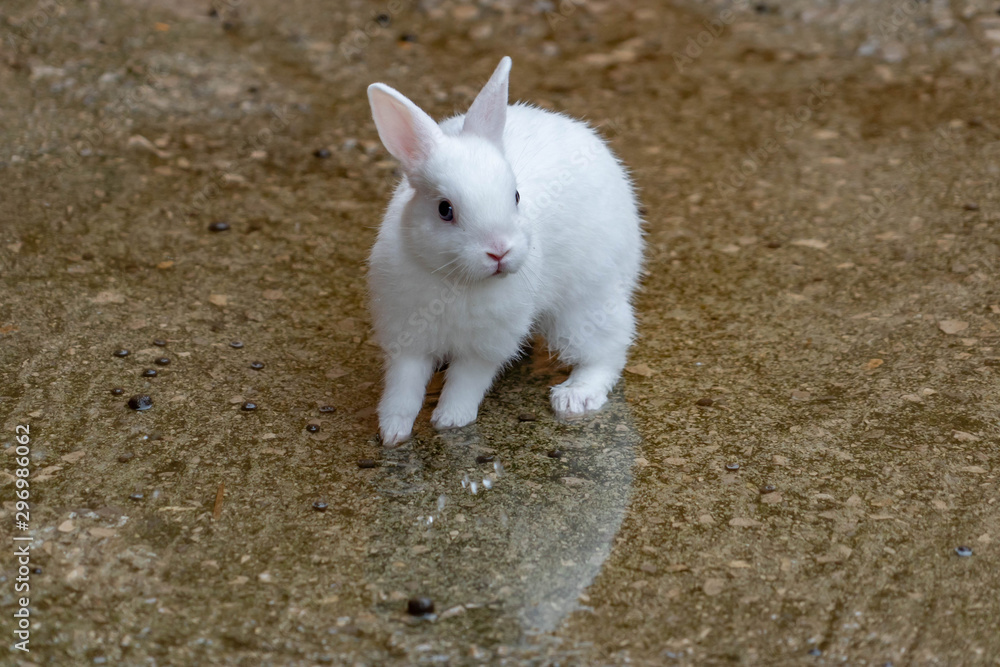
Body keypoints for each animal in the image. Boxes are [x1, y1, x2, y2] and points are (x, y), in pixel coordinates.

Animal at [366, 56, 643, 446]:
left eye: (515, 196)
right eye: (445, 209)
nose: (499, 252)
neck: (457, 281)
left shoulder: (486, 346)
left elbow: (467, 382)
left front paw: (450, 420)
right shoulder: (406, 339)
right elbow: (402, 386)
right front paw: (393, 432)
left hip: (587, 301)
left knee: (608, 349)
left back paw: (575, 396)